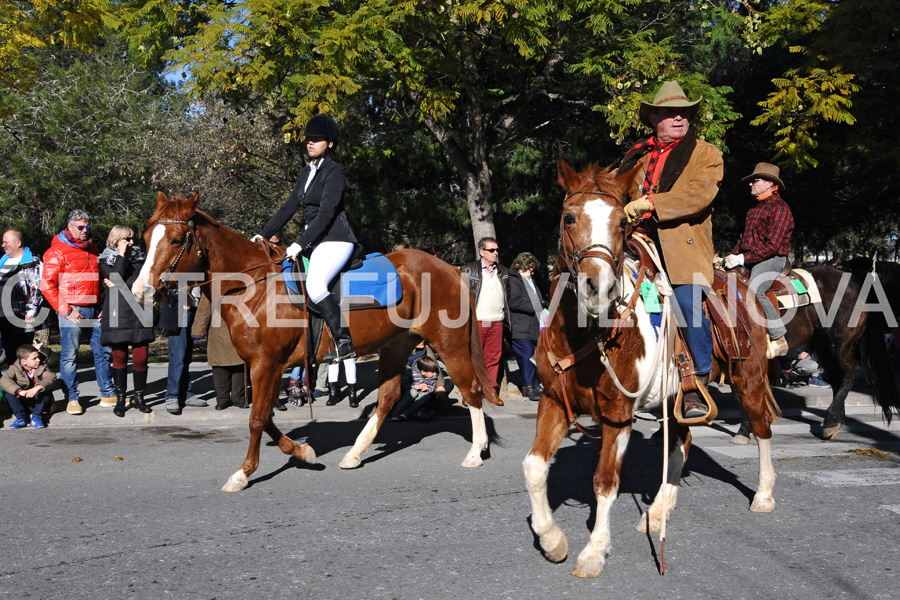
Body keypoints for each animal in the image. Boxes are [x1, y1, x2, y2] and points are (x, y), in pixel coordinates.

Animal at [134, 192, 502, 492]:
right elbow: (265, 416)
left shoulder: (266, 364)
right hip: (397, 346)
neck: (253, 286)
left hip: (448, 345)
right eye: (147, 237)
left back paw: (475, 451)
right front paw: (303, 452)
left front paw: (243, 473)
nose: (141, 290)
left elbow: (257, 419)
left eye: (177, 239)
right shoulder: (265, 366)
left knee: (471, 391)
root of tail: (448, 267)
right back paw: (354, 454)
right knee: (387, 400)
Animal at [520, 159, 780, 576]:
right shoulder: (554, 401)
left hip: (749, 379)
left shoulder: (617, 415)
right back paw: (658, 513)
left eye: (621, 223)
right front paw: (552, 540)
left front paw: (593, 552)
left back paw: (764, 495)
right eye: (569, 217)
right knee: (681, 443)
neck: (588, 334)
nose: (599, 288)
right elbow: (534, 467)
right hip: (677, 401)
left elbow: (605, 481)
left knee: (762, 428)